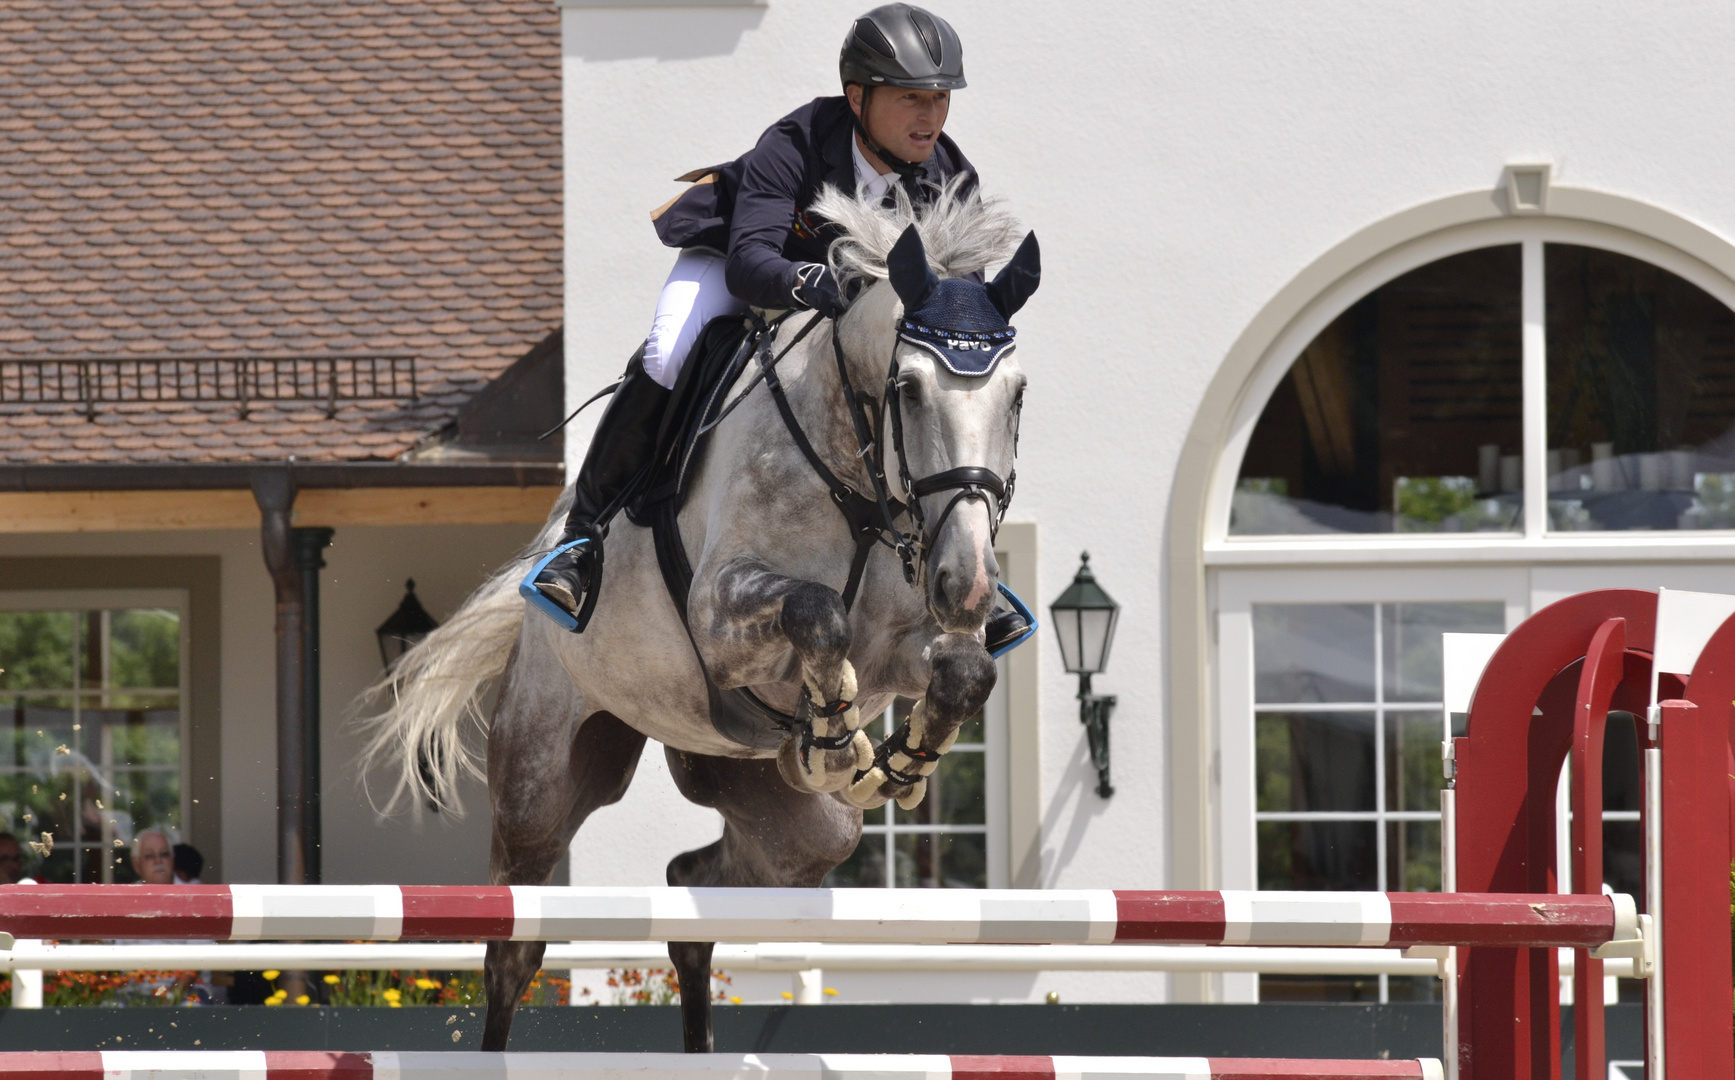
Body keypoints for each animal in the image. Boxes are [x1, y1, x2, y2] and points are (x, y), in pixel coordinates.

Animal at [359, 185, 1034, 1055]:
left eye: (1016, 392)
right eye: (910, 390)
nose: (967, 584)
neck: (855, 479)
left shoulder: (902, 647)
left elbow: (965, 668)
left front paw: (898, 757)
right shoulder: (721, 618)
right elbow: (817, 612)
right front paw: (834, 736)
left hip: (778, 806)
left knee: (700, 888)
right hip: (540, 779)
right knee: (516, 942)